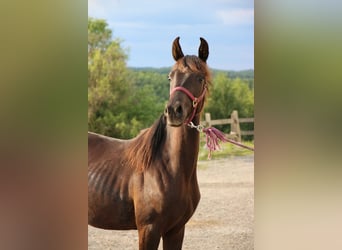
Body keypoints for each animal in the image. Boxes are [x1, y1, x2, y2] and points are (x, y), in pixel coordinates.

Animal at [88, 36, 211, 249]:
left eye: (200, 78)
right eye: (170, 77)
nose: (174, 111)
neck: (168, 167)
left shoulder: (176, 230)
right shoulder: (149, 230)